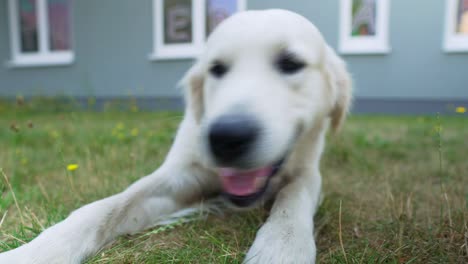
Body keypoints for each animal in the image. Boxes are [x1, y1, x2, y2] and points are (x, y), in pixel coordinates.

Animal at [0, 9, 352, 262]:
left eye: (291, 63)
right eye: (216, 68)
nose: (227, 136)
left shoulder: (308, 173)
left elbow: (293, 197)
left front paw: (281, 247)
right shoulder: (180, 176)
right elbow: (106, 207)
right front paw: (36, 250)